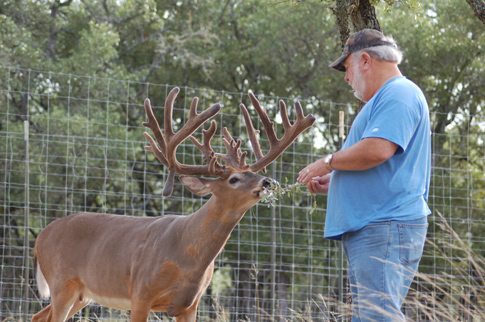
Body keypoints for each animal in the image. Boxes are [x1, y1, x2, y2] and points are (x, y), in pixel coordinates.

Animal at [32, 86, 316, 322]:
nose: (267, 181)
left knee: (38, 316)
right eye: (233, 179)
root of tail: (39, 238)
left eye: (253, 172)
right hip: (62, 282)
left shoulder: (190, 305)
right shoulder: (140, 293)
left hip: (83, 294)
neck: (187, 258)